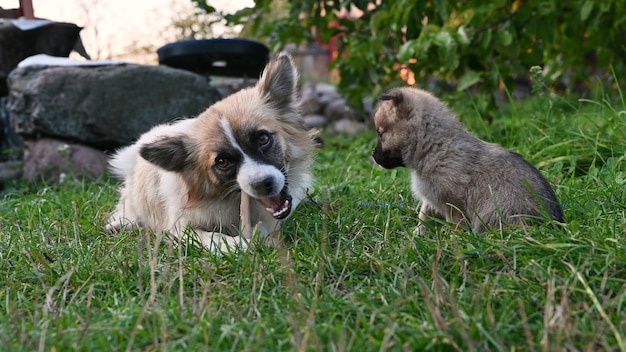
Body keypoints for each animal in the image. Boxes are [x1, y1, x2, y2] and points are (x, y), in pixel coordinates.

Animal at [106, 53, 316, 253]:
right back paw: (120, 224)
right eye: (222, 162)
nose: (262, 184)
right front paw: (240, 245)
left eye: (263, 139)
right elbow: (213, 237)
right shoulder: (180, 227)